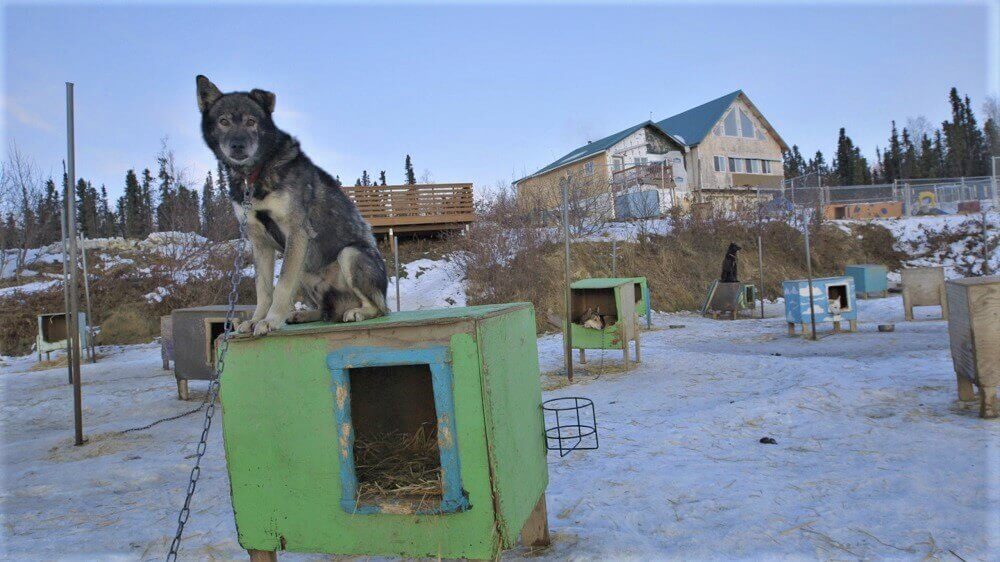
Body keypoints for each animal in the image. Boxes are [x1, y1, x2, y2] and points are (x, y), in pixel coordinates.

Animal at [194, 76, 386, 334]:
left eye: (251, 121)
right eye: (223, 121)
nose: (238, 145)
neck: (254, 175)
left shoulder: (297, 232)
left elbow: (282, 285)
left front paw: (270, 320)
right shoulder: (260, 242)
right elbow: (264, 289)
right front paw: (256, 319)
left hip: (348, 253)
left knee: (378, 307)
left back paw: (358, 312)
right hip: (305, 267)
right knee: (326, 312)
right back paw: (304, 315)